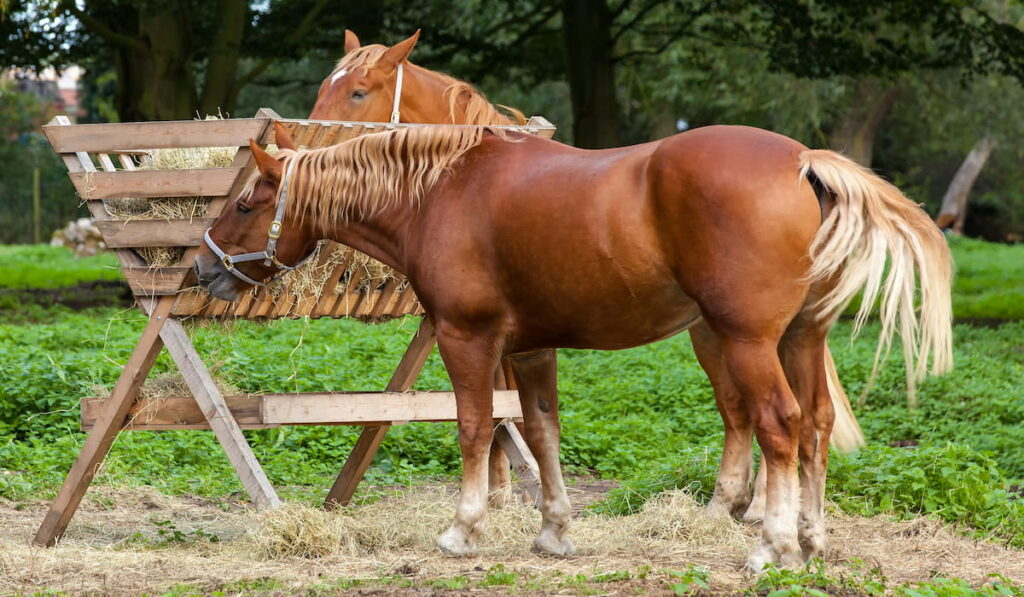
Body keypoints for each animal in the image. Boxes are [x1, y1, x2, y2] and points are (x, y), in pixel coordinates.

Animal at [197, 108, 950, 569]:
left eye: (246, 203)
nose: (203, 266)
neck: (443, 192)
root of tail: (802, 160)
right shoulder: (530, 347)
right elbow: (541, 429)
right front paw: (554, 529)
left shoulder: (468, 339)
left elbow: (475, 428)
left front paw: (464, 528)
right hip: (801, 339)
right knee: (816, 422)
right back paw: (812, 538)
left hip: (746, 343)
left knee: (780, 425)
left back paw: (774, 545)